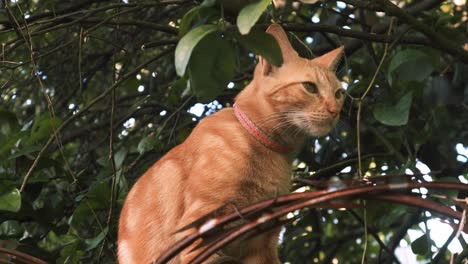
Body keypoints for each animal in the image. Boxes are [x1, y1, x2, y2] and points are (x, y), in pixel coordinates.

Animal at [117, 23, 344, 262]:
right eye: (310, 87)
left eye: (339, 93)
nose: (335, 111)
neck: (268, 150)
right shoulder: (199, 231)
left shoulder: (263, 243)